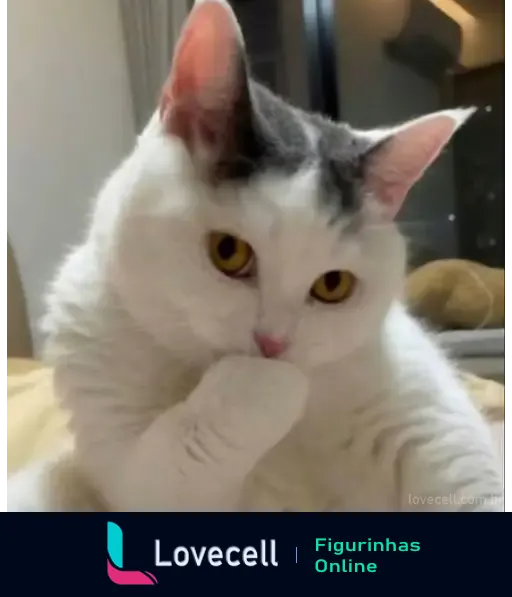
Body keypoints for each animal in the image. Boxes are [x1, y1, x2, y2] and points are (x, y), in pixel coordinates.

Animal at [0, 0, 503, 512]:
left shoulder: (433, 425)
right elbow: (184, 450)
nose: (273, 344)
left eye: (333, 285)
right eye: (228, 252)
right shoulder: (137, 476)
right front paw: (276, 383)